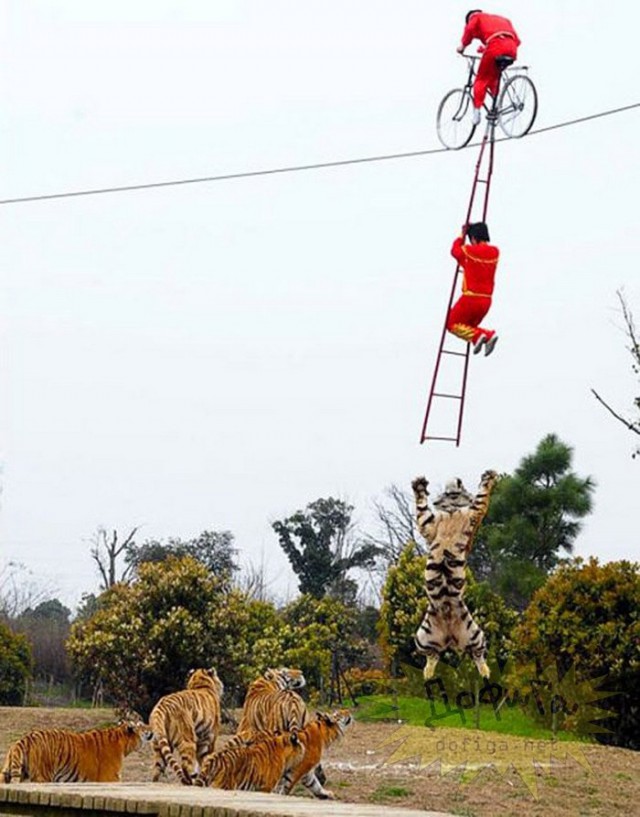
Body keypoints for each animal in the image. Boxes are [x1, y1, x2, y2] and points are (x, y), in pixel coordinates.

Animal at [0, 716, 151, 780]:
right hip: (42, 777)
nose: (151, 728)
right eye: (142, 725)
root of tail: (24, 739)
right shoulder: (109, 778)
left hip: (7, 773)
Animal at [410, 468, 500, 680]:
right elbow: (422, 509)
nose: (457, 480)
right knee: (433, 655)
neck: (450, 511)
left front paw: (489, 476)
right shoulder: (429, 525)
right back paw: (428, 674)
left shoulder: (475, 512)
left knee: (477, 655)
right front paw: (419, 485)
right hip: (422, 637)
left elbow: (481, 497)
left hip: (476, 634)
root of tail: (450, 638)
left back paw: (486, 673)